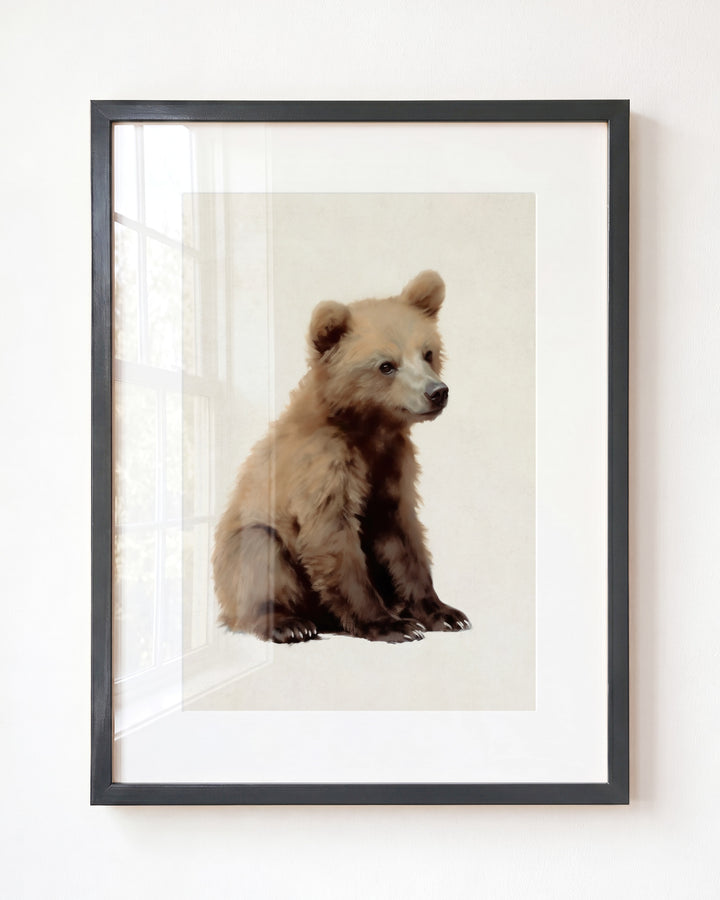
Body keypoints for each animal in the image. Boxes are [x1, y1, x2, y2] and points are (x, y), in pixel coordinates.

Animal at [212, 270, 471, 644]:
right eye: (386, 365)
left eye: (427, 353)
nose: (437, 392)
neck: (368, 429)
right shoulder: (322, 465)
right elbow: (332, 537)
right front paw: (391, 625)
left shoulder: (392, 466)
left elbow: (403, 537)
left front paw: (444, 613)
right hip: (247, 548)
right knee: (258, 554)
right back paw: (290, 622)